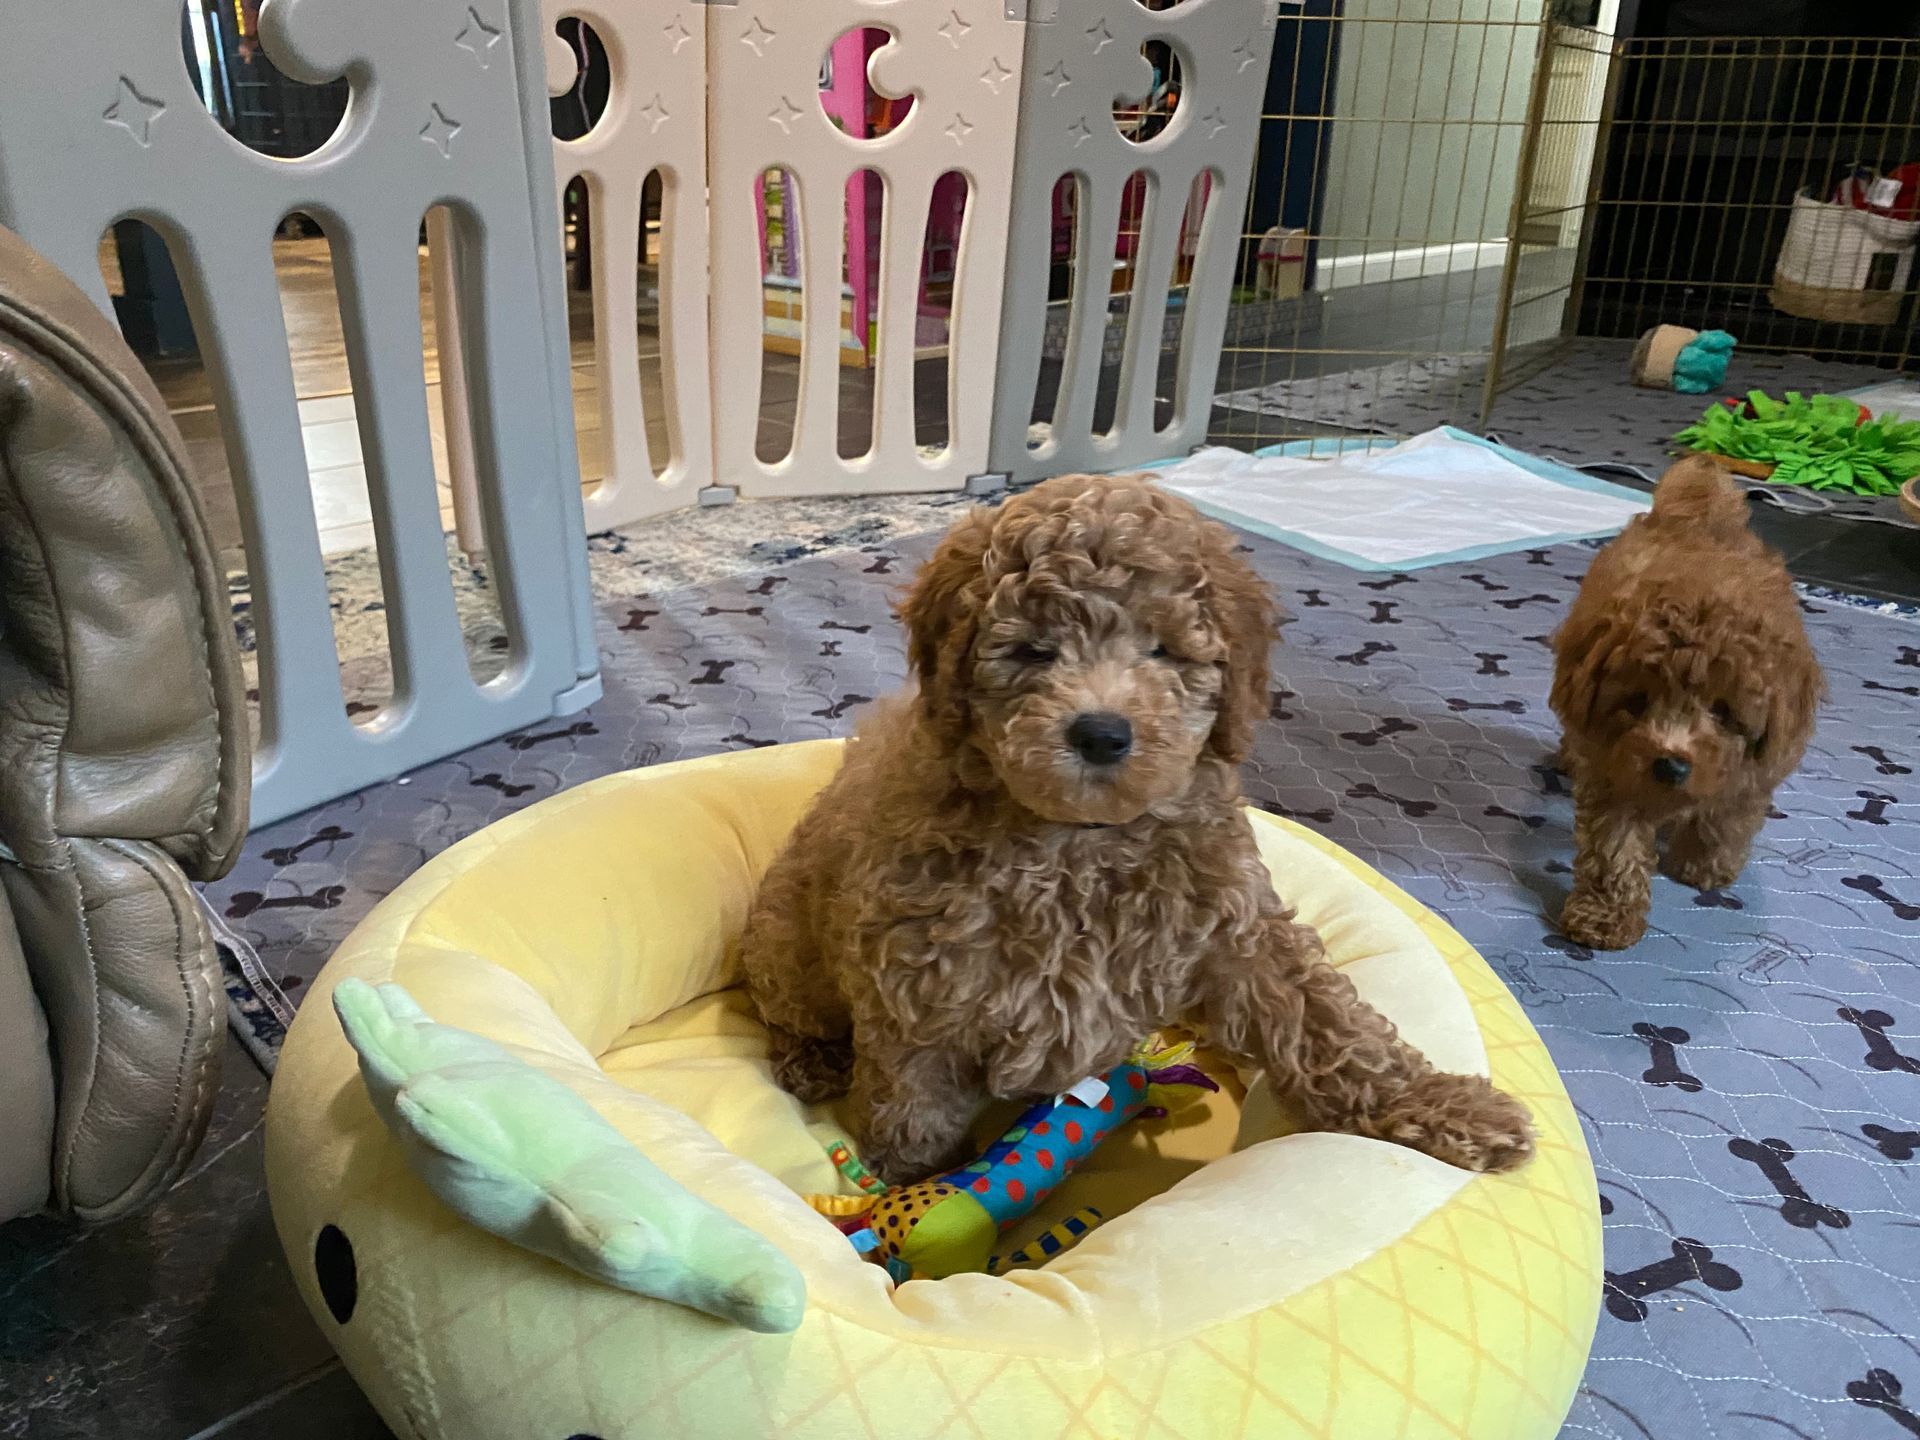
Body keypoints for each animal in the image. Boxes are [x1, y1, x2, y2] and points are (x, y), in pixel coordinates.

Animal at [741, 474, 1536, 1182]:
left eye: (1163, 650)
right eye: (1033, 651)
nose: (1101, 733)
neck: (1079, 839)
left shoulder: (1235, 933)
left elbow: (1326, 1025)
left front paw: (1446, 1107)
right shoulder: (920, 984)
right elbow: (915, 1106)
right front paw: (916, 1203)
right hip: (789, 947)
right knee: (781, 1005)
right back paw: (812, 1058)